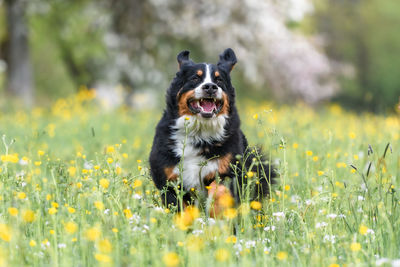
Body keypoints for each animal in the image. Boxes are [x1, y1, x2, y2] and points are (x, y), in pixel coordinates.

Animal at [150, 48, 276, 218]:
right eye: (195, 78)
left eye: (219, 80)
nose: (210, 87)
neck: (199, 132)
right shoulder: (168, 178)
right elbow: (181, 208)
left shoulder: (227, 170)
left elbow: (219, 191)